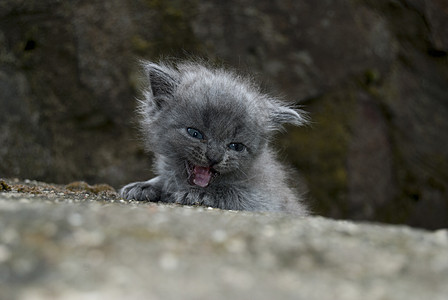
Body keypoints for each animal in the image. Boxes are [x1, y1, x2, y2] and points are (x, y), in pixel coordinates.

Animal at [119, 60, 308, 216]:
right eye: (194, 133)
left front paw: (198, 194)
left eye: (236, 146)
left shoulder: (267, 200)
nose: (214, 157)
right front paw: (144, 186)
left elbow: (232, 192)